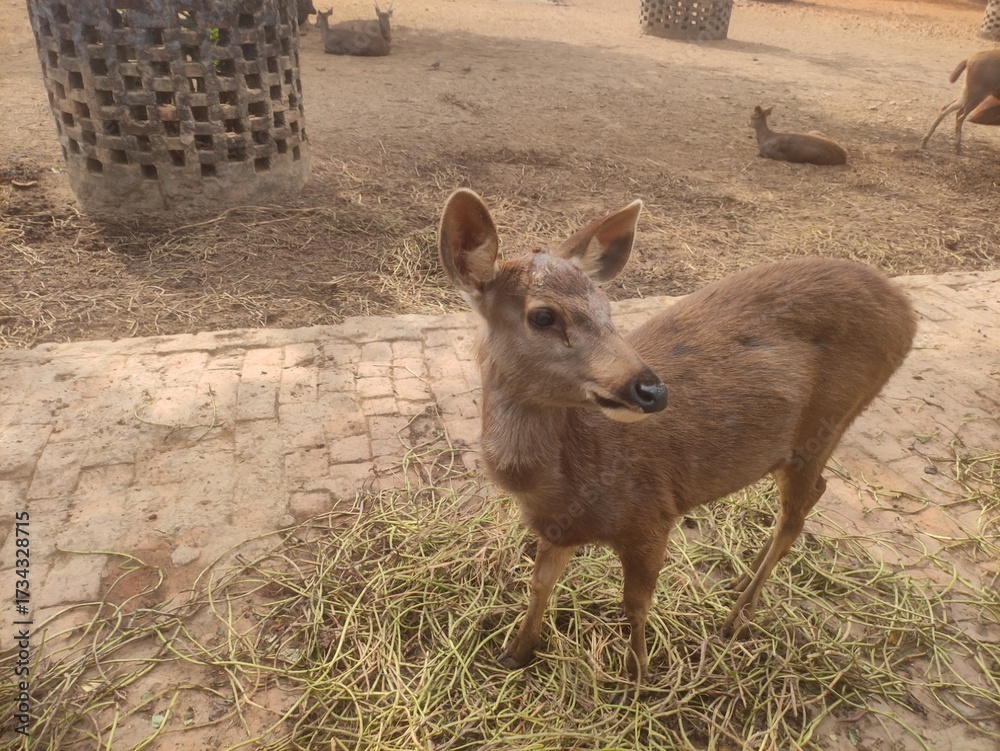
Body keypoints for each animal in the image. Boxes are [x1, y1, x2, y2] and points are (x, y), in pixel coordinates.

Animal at [438, 189, 916, 684]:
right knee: (813, 495)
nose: (652, 390)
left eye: (609, 310)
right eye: (544, 316)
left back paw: (736, 616)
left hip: (827, 423)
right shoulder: (557, 529)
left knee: (796, 514)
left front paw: (638, 673)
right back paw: (741, 580)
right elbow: (539, 586)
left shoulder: (652, 514)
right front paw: (516, 652)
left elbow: (635, 604)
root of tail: (907, 310)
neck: (563, 485)